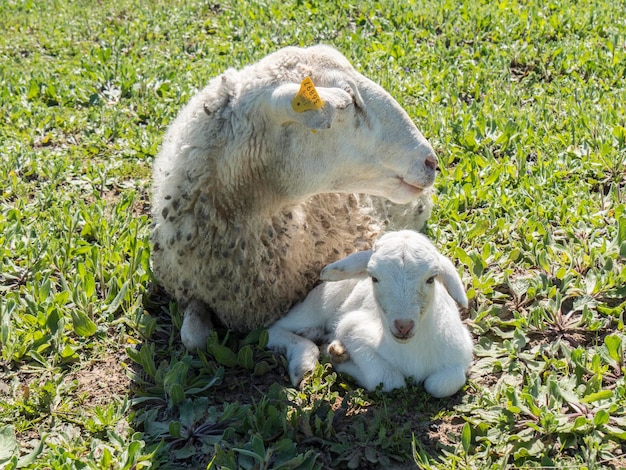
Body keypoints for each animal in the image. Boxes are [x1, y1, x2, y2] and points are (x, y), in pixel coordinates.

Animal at [266, 229, 470, 398]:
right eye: (374, 278)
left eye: (431, 278)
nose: (403, 326)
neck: (410, 349)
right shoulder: (353, 327)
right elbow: (389, 381)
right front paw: (337, 358)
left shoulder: (460, 354)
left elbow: (440, 385)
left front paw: (337, 353)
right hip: (320, 303)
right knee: (275, 329)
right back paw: (303, 362)